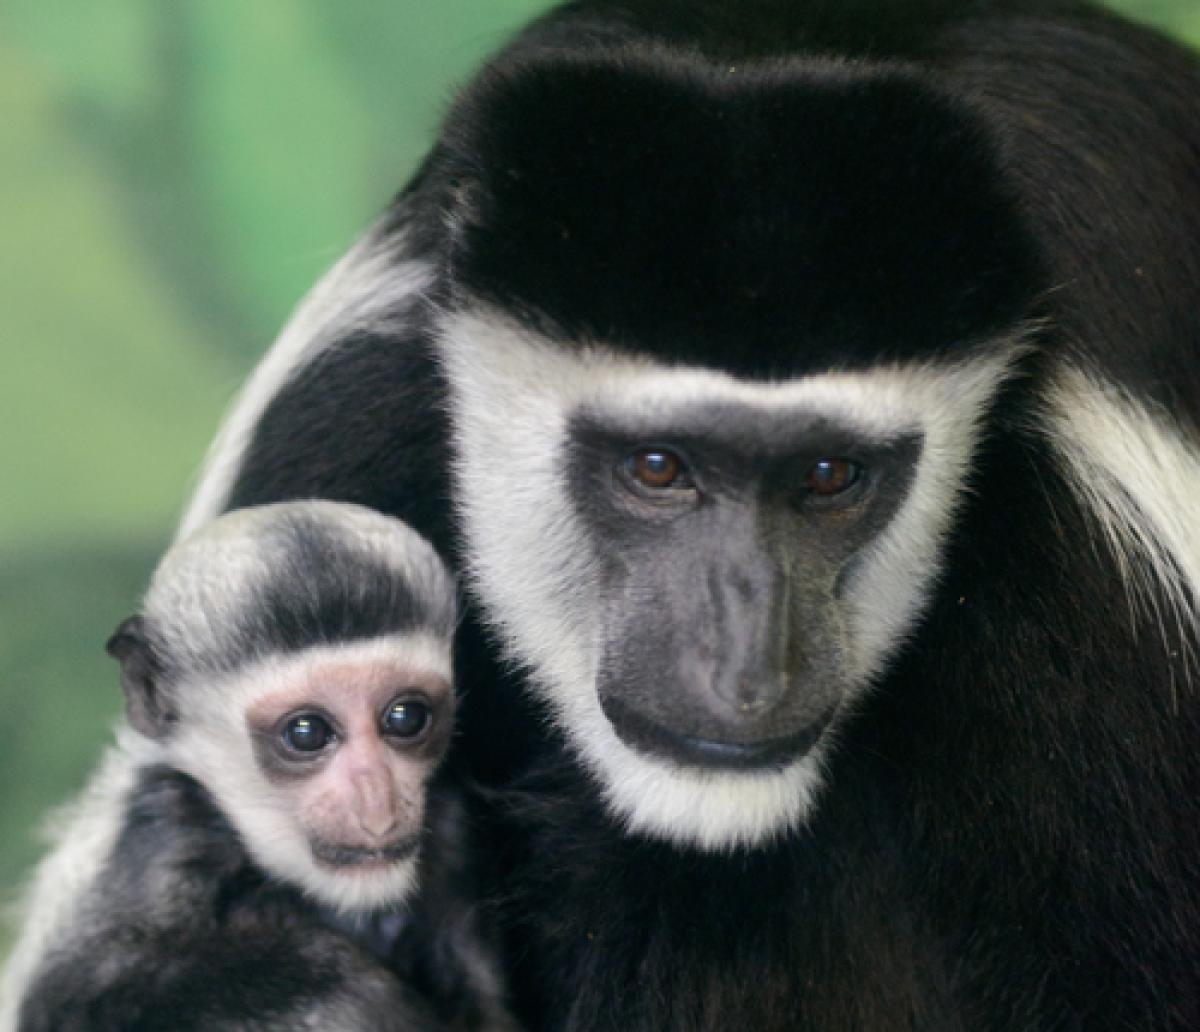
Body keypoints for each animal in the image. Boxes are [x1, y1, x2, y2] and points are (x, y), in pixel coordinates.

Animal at [1, 499, 516, 1032]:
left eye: (406, 717)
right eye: (306, 733)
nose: (378, 803)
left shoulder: (452, 832)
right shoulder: (168, 834)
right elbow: (77, 991)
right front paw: (343, 993)